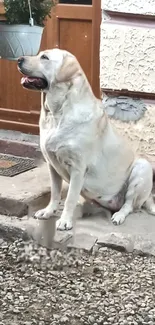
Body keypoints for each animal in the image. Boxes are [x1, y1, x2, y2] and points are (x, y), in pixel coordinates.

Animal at [17, 48, 155, 230]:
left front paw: (65, 220)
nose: (18, 59)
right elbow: (55, 193)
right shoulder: (52, 166)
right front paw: (48, 211)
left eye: (44, 57)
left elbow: (69, 198)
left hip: (142, 169)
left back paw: (119, 215)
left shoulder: (78, 168)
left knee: (129, 205)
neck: (57, 113)